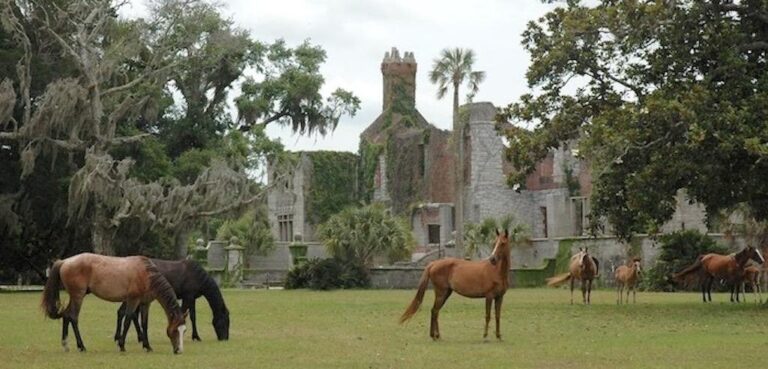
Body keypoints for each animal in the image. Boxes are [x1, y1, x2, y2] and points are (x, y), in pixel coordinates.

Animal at [41, 252, 188, 352]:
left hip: (74, 296)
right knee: (73, 317)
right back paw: (82, 346)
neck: (146, 274)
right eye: (175, 330)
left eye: (184, 331)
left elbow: (144, 324)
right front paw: (122, 345)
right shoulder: (133, 300)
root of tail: (65, 261)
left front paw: (147, 346)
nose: (179, 351)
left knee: (66, 315)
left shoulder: (145, 303)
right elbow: (128, 320)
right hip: (78, 296)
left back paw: (66, 345)